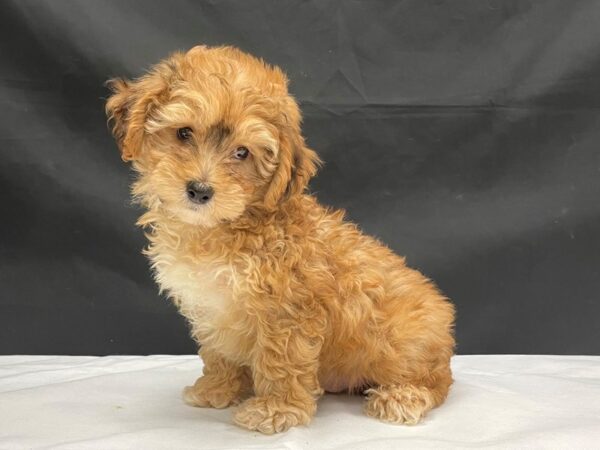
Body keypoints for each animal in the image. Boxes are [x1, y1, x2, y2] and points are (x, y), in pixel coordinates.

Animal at [106, 44, 454, 432]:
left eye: (242, 152)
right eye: (183, 133)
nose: (199, 190)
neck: (221, 227)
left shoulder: (288, 310)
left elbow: (281, 361)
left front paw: (275, 408)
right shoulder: (211, 306)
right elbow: (218, 350)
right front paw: (217, 388)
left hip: (408, 342)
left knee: (437, 381)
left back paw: (404, 396)